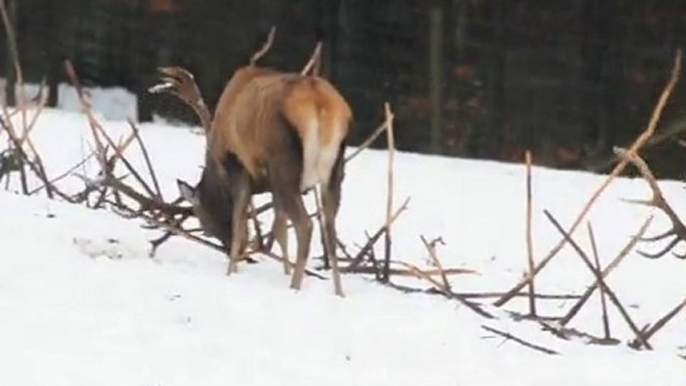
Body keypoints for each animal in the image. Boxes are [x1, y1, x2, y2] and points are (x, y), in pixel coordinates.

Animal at [151, 58, 354, 296]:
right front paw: (283, 270)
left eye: (202, 219)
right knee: (329, 229)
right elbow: (280, 228)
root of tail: (320, 103)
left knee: (305, 226)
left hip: (284, 164)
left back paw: (294, 287)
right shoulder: (270, 186)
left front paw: (231, 272)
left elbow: (240, 224)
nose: (230, 249)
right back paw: (338, 292)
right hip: (335, 169)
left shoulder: (238, 168)